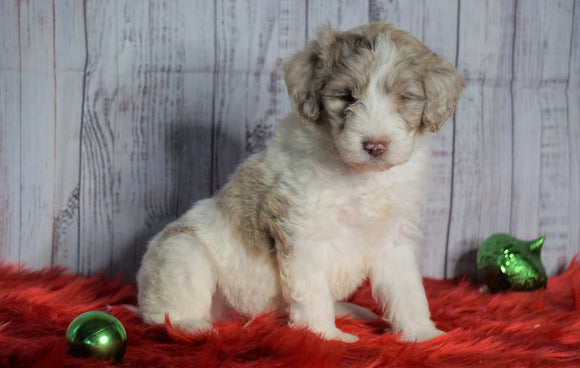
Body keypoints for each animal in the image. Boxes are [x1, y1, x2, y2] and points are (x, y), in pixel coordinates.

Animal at [137, 23, 466, 342]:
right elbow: (312, 291)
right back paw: (192, 327)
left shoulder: (394, 238)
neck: (361, 175)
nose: (374, 146)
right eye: (347, 96)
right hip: (182, 252)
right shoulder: (303, 234)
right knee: (162, 315)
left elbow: (408, 290)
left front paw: (422, 334)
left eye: (404, 98)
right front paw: (325, 336)